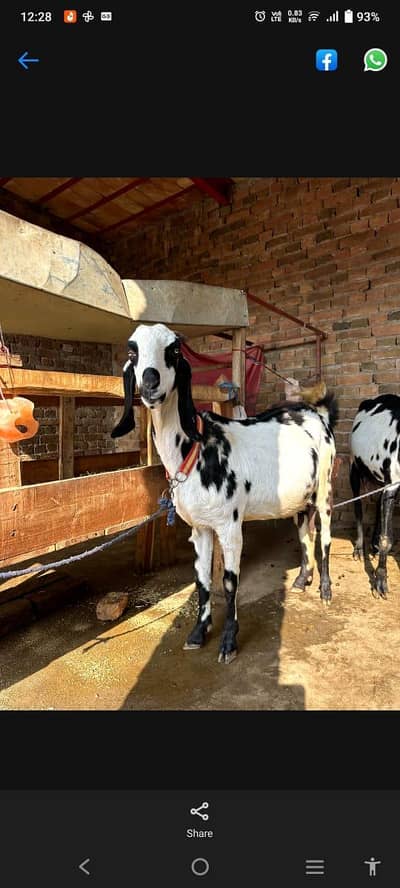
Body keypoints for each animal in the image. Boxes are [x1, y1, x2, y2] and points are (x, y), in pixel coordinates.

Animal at [112, 323, 338, 663]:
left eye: (174, 350)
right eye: (132, 351)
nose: (149, 382)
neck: (195, 447)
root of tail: (315, 414)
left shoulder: (230, 526)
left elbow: (230, 583)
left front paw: (229, 642)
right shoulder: (200, 527)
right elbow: (202, 580)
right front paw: (197, 633)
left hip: (325, 487)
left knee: (324, 535)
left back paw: (325, 590)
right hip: (301, 499)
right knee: (304, 532)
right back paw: (301, 579)